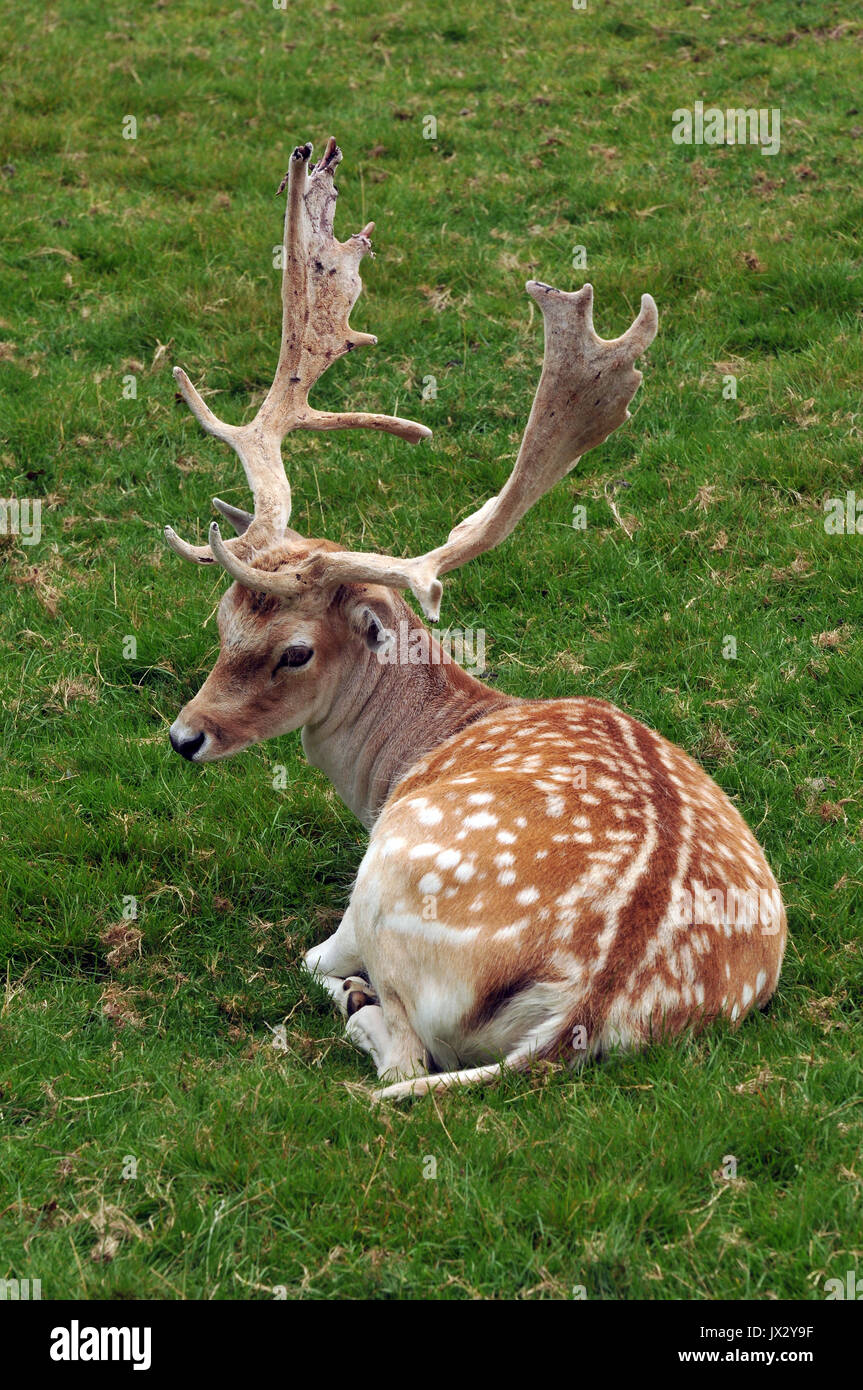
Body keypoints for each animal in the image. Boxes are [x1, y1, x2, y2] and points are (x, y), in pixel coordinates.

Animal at [163, 138, 789, 1095]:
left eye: (295, 651)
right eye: (222, 619)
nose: (184, 736)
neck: (407, 754)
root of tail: (585, 1007)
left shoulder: (356, 892)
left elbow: (312, 957)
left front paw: (342, 987)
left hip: (387, 887)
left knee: (400, 1051)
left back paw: (358, 1005)